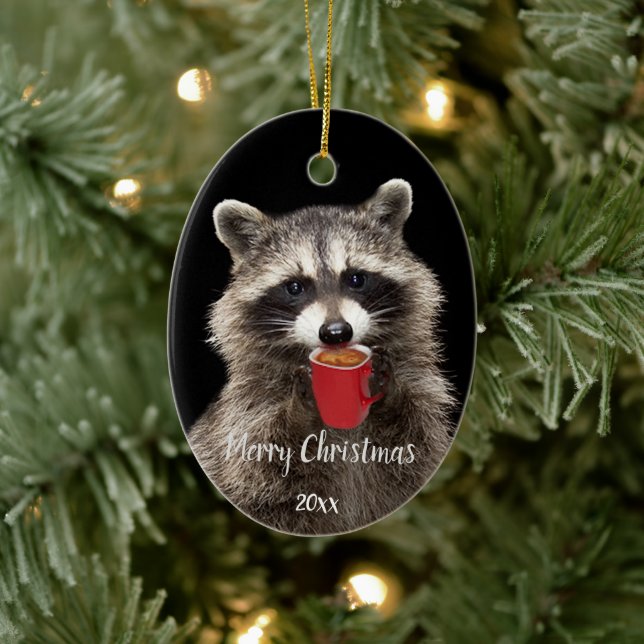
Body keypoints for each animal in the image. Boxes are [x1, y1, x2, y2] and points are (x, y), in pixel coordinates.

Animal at [188, 179, 456, 535]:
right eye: (294, 287)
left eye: (356, 278)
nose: (336, 333)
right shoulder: (247, 408)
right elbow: (258, 464)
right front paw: (300, 412)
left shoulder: (421, 383)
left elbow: (418, 439)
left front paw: (390, 391)